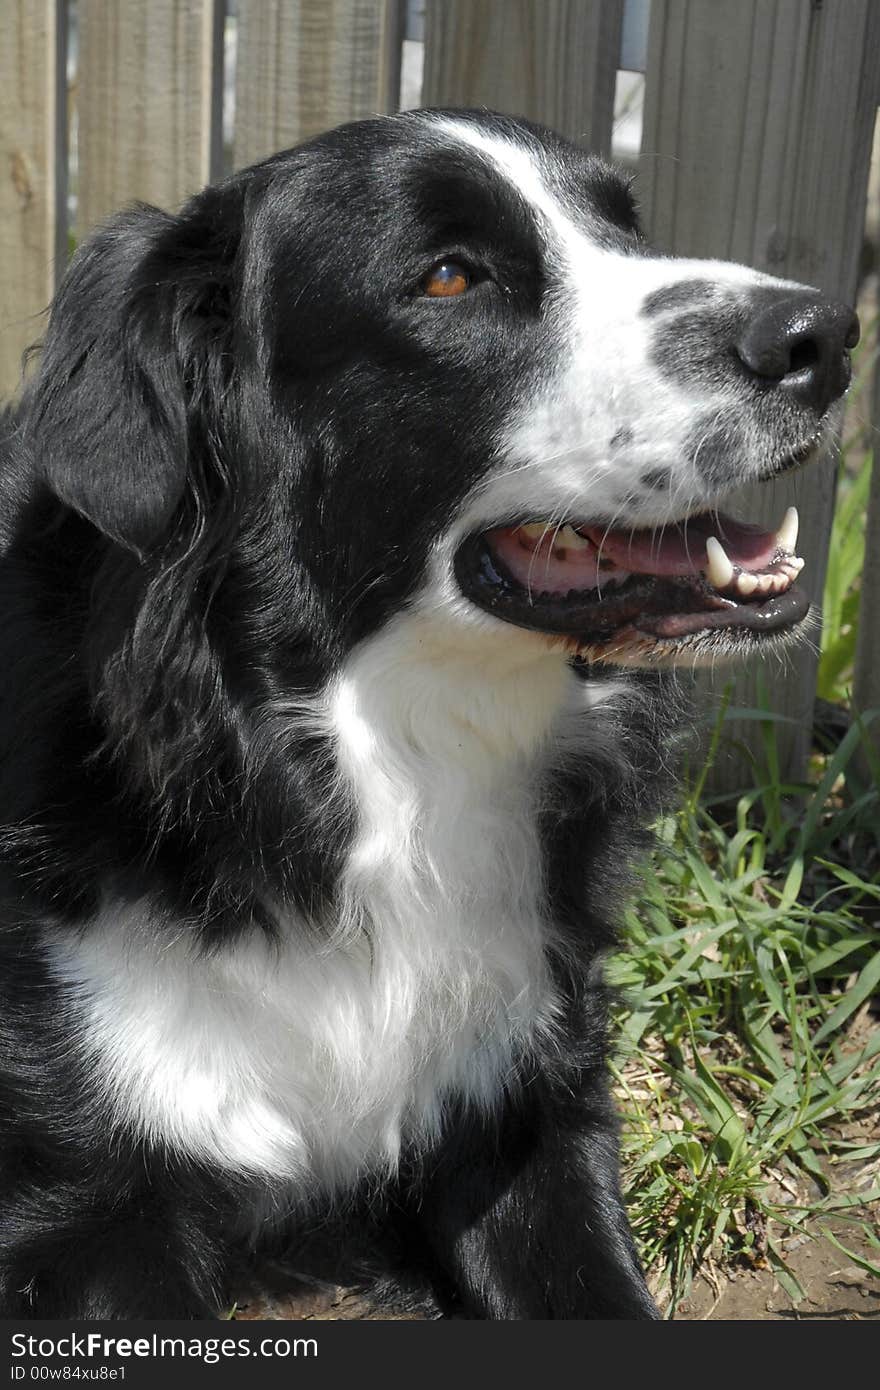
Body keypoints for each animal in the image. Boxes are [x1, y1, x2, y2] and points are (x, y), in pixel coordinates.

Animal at [0, 108, 856, 1312]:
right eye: (450, 276)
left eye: (625, 230)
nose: (823, 337)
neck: (382, 768)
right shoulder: (85, 1208)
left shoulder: (529, 1106)